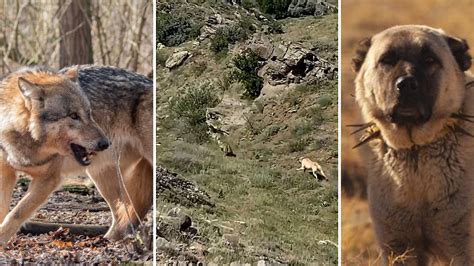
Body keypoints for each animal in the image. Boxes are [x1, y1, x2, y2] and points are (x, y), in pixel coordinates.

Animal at [0, 65, 152, 245]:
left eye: (89, 113)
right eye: (73, 116)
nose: (105, 143)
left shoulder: (49, 179)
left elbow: (16, 213)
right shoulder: (6, 173)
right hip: (101, 177)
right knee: (123, 215)